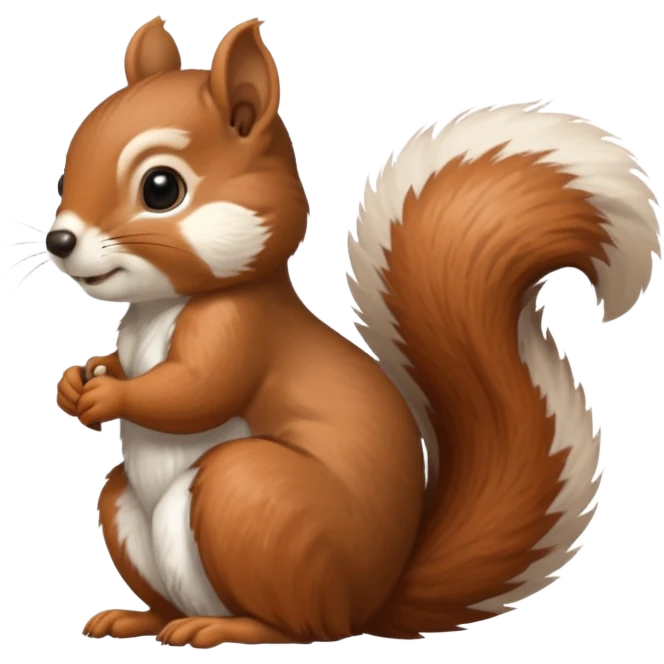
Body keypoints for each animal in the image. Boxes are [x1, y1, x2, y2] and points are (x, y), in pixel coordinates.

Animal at [51, 16, 660, 648]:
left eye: (161, 188)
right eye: (65, 172)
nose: (59, 241)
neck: (163, 306)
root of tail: (372, 603)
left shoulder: (242, 331)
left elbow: (195, 391)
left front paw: (108, 395)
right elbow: (127, 364)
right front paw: (77, 382)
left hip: (249, 495)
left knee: (304, 627)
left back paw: (226, 627)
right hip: (126, 506)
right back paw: (141, 617)